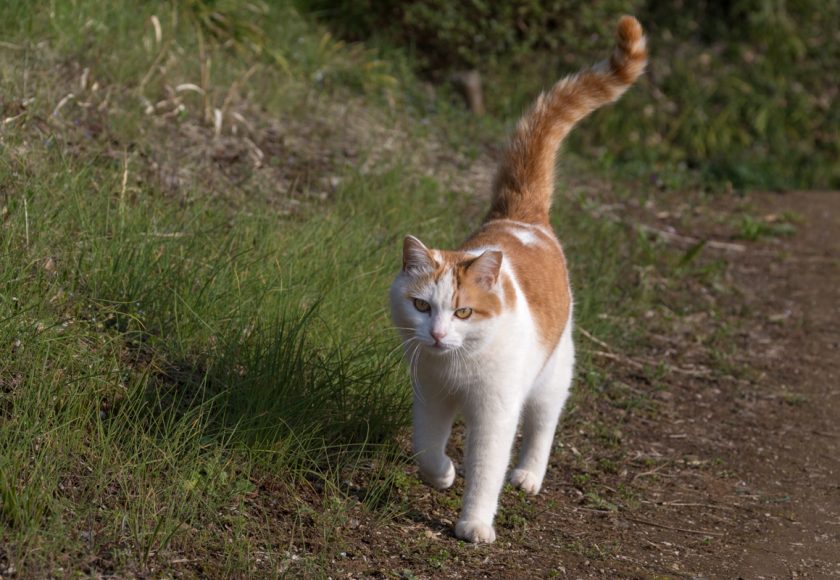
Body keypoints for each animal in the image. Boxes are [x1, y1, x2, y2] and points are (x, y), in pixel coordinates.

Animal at [390, 14, 648, 544]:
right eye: (422, 306)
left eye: (463, 311)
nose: (438, 335)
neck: (457, 368)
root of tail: (521, 216)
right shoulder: (431, 397)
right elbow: (426, 448)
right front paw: (442, 474)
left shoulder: (496, 411)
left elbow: (487, 469)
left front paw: (473, 523)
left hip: (553, 372)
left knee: (544, 426)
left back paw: (529, 474)